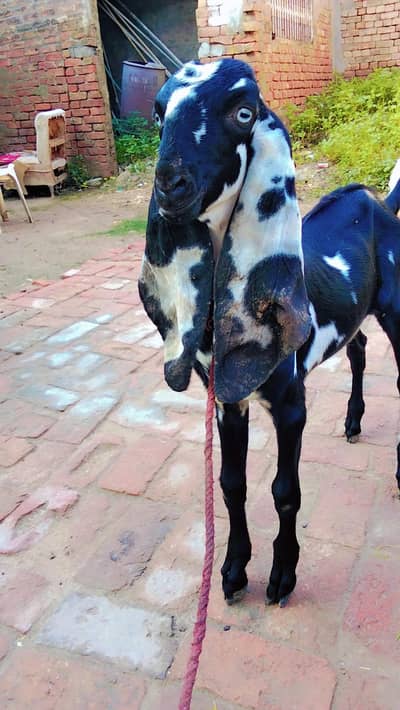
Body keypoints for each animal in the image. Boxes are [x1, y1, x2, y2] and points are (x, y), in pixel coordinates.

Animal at [139, 59, 400, 606]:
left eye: (243, 111)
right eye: (158, 112)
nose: (170, 184)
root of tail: (378, 201)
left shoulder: (290, 403)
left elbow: (285, 491)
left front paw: (282, 576)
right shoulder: (227, 400)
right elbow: (231, 483)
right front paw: (234, 570)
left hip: (397, 307)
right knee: (360, 348)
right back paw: (353, 421)